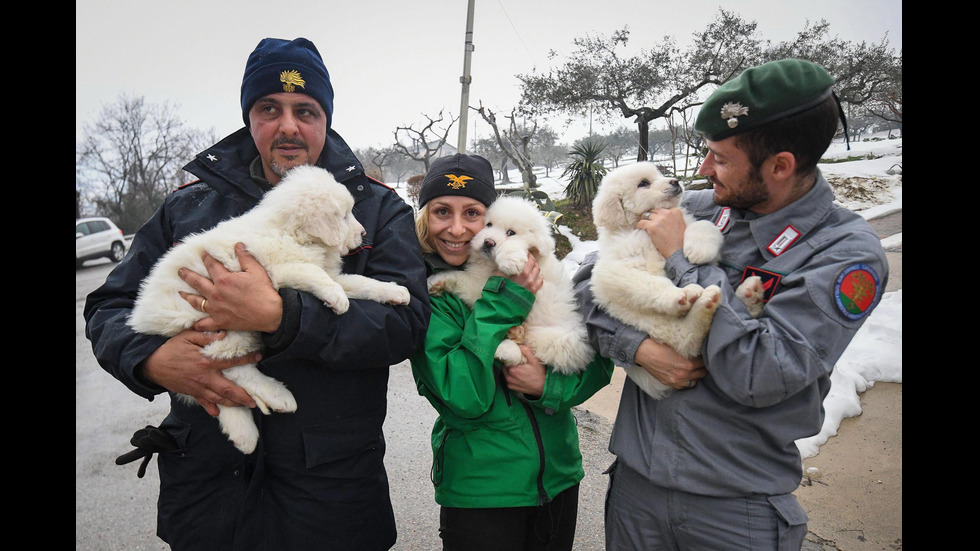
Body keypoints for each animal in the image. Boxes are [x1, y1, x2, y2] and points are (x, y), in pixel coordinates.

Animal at [127, 165, 410, 452]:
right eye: (343, 216)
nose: (363, 234)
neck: (292, 233)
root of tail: (143, 317)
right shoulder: (275, 271)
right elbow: (312, 273)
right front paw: (336, 297)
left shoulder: (329, 273)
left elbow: (359, 281)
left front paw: (394, 291)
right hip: (219, 326)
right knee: (228, 368)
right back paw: (278, 397)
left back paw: (245, 432)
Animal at [430, 195, 596, 376]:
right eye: (489, 224)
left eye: (511, 233)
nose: (488, 242)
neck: (491, 267)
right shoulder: (478, 286)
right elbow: (459, 277)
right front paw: (435, 281)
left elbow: (516, 246)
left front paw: (510, 260)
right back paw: (511, 339)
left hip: (560, 340)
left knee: (531, 353)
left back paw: (506, 346)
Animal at [588, 162, 764, 398]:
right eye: (643, 183)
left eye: (659, 174)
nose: (675, 181)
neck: (640, 228)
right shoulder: (611, 272)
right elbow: (652, 284)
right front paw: (678, 295)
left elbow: (704, 226)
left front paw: (698, 250)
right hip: (654, 325)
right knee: (685, 339)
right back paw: (705, 301)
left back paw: (750, 295)